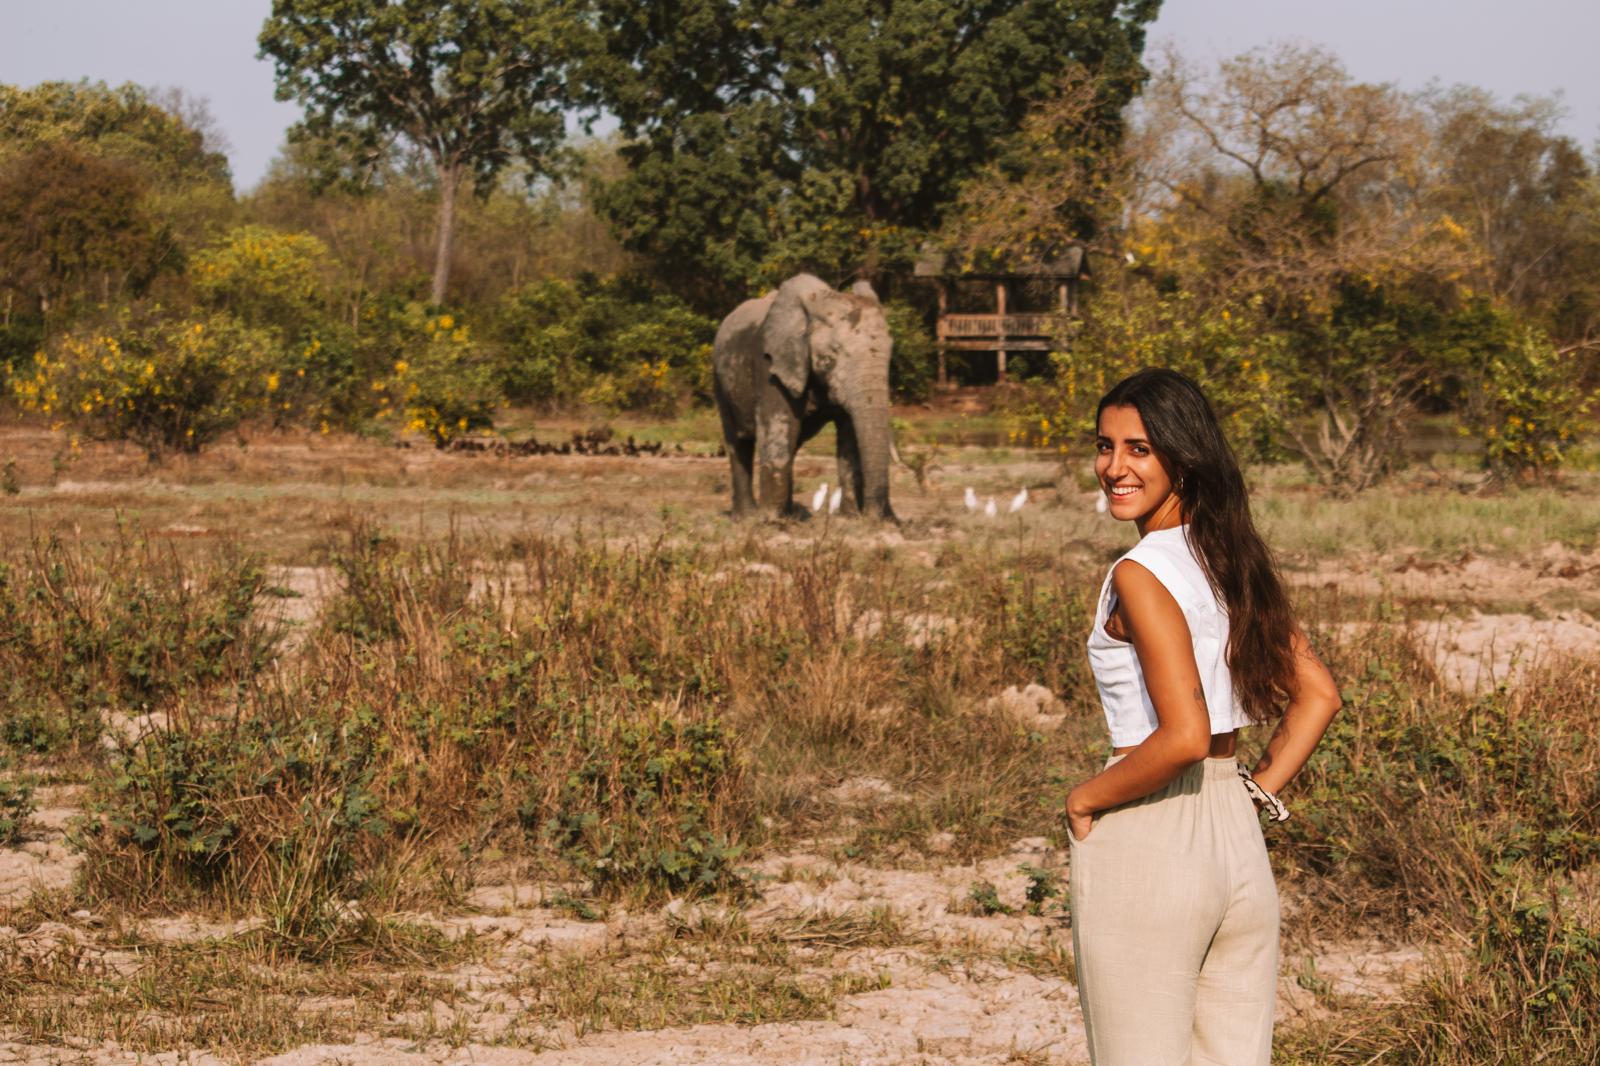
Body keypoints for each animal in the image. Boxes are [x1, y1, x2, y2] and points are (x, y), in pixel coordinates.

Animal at [716, 270, 902, 518]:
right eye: (831, 356)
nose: (876, 517)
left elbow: (848, 432)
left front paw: (849, 518)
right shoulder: (771, 363)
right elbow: (779, 426)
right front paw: (770, 521)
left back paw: (790, 514)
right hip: (719, 379)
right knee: (738, 441)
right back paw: (747, 517)